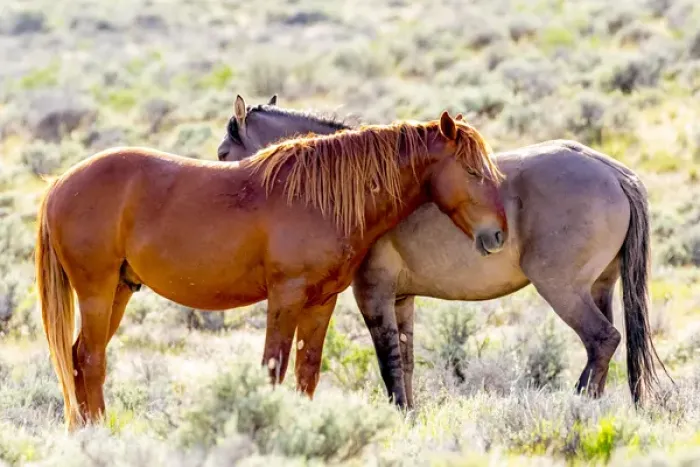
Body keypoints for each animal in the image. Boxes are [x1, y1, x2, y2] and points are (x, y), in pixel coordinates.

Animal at [35, 110, 508, 430]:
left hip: (119, 290)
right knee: (90, 359)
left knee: (79, 358)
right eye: (472, 170)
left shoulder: (321, 302)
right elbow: (273, 367)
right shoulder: (286, 296)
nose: (498, 235)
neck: (321, 197)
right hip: (96, 291)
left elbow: (306, 371)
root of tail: (60, 183)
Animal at [217, 95, 671, 409]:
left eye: (223, 154)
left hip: (562, 289)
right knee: (606, 345)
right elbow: (405, 362)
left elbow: (388, 363)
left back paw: (576, 404)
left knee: (602, 340)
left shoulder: (373, 294)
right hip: (599, 287)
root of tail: (613, 172)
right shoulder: (401, 299)